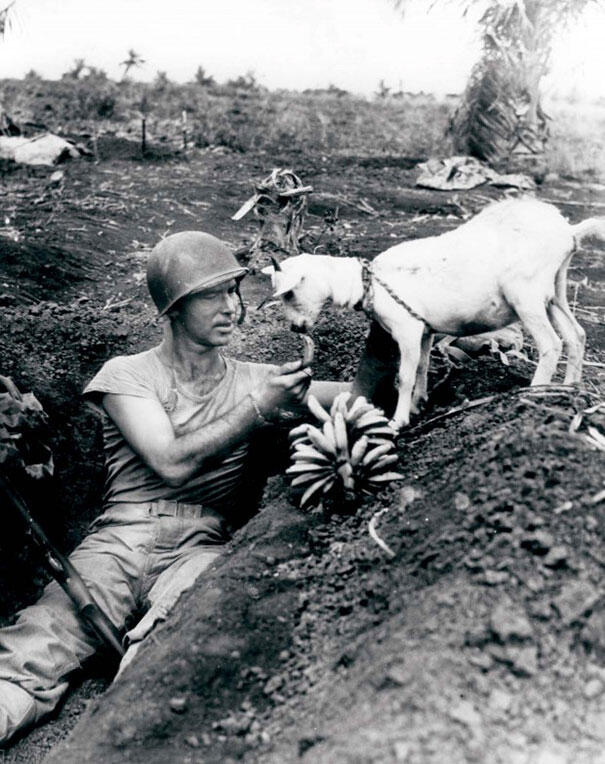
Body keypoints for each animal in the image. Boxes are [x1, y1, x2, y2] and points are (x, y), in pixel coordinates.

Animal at [260, 197, 604, 430]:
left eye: (289, 292)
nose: (295, 328)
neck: (367, 282)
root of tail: (568, 231)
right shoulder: (424, 331)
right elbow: (422, 368)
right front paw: (418, 405)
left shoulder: (407, 329)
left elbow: (404, 375)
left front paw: (398, 420)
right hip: (554, 291)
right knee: (576, 335)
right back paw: (567, 389)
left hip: (527, 294)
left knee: (551, 343)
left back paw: (534, 393)